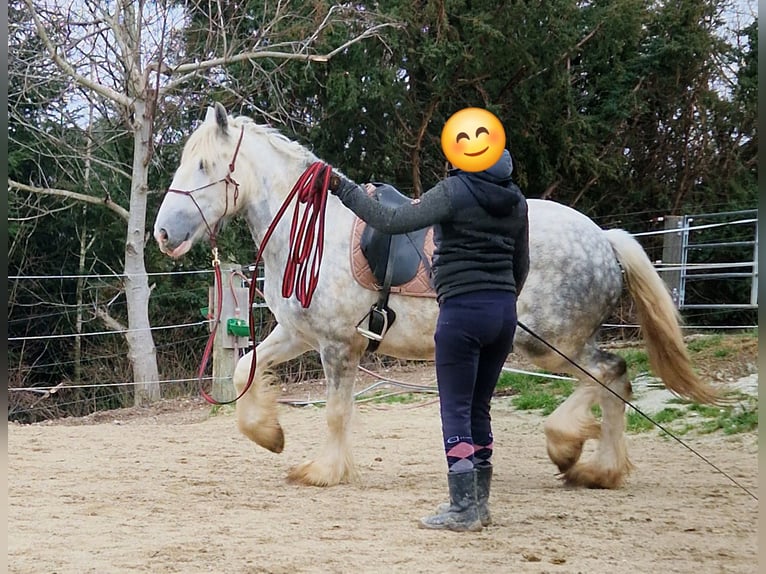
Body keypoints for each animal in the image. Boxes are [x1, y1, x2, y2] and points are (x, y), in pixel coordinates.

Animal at [154, 102, 720, 490]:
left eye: (204, 166)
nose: (162, 233)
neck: (312, 231)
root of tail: (604, 238)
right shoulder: (297, 334)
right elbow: (245, 369)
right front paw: (270, 435)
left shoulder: (339, 345)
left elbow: (336, 412)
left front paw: (323, 471)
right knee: (613, 383)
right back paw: (600, 470)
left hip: (549, 343)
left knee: (610, 376)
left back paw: (570, 451)